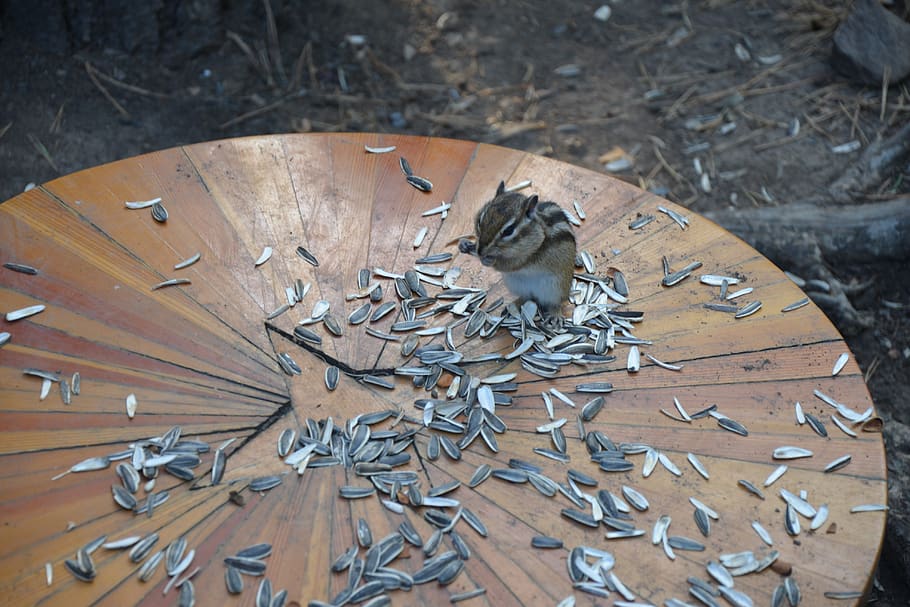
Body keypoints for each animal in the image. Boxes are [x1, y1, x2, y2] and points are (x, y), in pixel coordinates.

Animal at [459, 181, 576, 327]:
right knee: (527, 296)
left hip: (556, 288)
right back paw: (513, 306)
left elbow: (509, 265)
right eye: (480, 220)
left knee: (555, 302)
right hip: (516, 284)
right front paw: (466, 245)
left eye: (509, 230)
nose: (480, 251)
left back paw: (555, 315)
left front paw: (488, 260)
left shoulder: (528, 257)